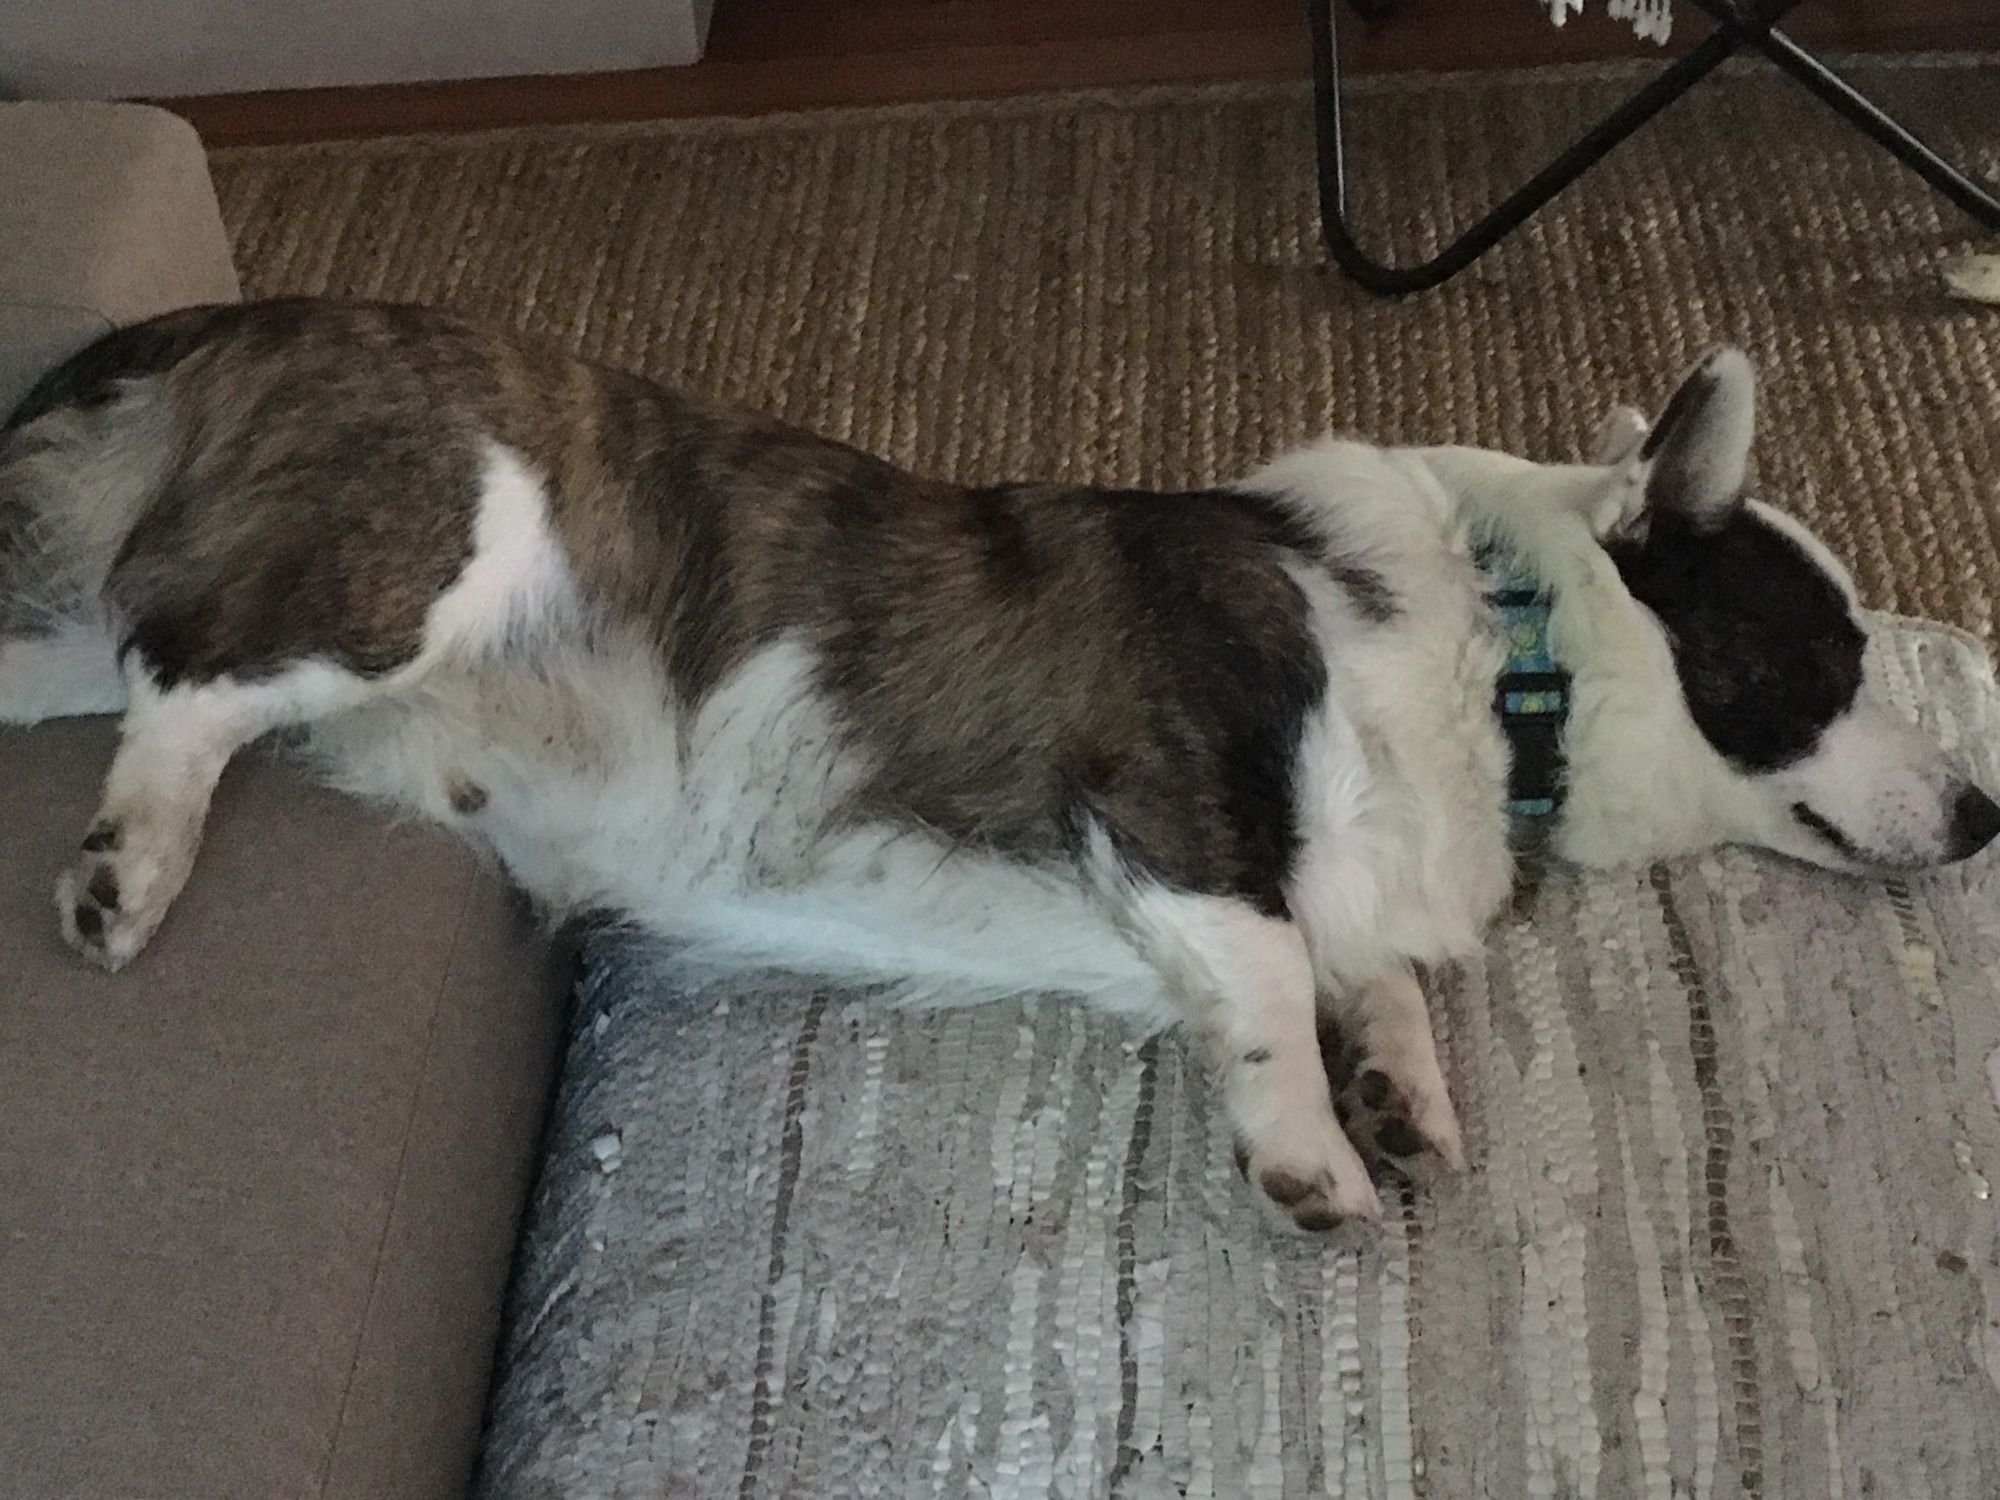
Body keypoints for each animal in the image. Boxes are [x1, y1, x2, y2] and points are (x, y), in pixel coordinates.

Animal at [0, 296, 1992, 1232]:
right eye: (1832, 659)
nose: (1986, 810)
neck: (1505, 646)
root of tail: (249, 318)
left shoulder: (1349, 883)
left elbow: (1381, 980)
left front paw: (1406, 1094)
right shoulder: (1177, 798)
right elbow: (1276, 968)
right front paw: (1313, 1158)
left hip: (70, 629)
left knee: (114, 653)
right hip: (423, 557)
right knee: (186, 685)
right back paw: (126, 870)